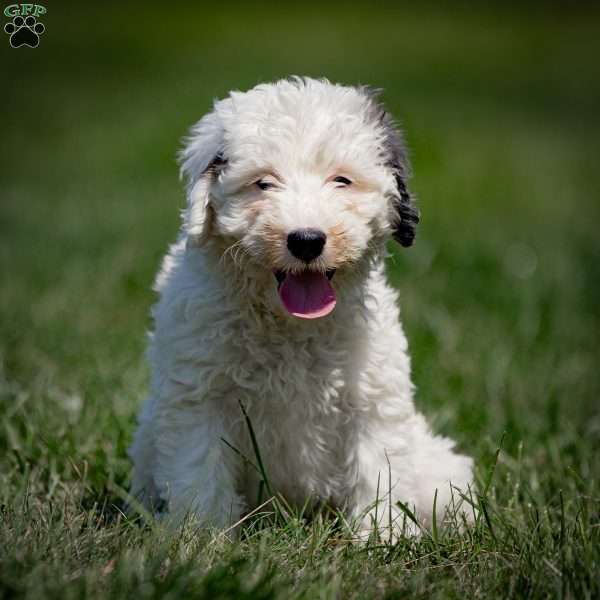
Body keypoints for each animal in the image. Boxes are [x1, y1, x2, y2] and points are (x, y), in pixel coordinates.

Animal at [130, 76, 474, 540]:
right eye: (262, 183)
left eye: (342, 181)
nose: (307, 240)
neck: (290, 325)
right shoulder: (199, 398)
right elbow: (200, 470)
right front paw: (201, 537)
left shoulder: (371, 398)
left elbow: (378, 467)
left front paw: (382, 538)